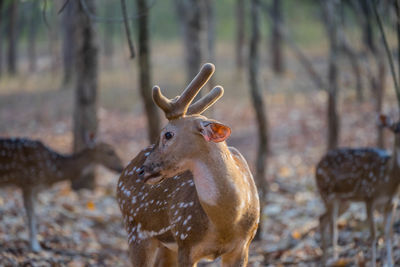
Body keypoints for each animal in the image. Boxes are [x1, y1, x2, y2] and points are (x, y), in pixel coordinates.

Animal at [116, 63, 260, 267]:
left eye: (168, 134)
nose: (142, 170)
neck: (227, 222)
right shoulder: (186, 241)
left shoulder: (243, 246)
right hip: (135, 229)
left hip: (163, 244)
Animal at [316, 115, 400, 267]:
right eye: (396, 129)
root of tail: (317, 165)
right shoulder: (369, 197)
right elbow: (373, 234)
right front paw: (373, 263)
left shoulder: (392, 202)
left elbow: (388, 233)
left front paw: (390, 263)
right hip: (327, 194)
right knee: (332, 225)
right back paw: (334, 259)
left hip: (344, 201)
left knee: (323, 219)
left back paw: (325, 260)